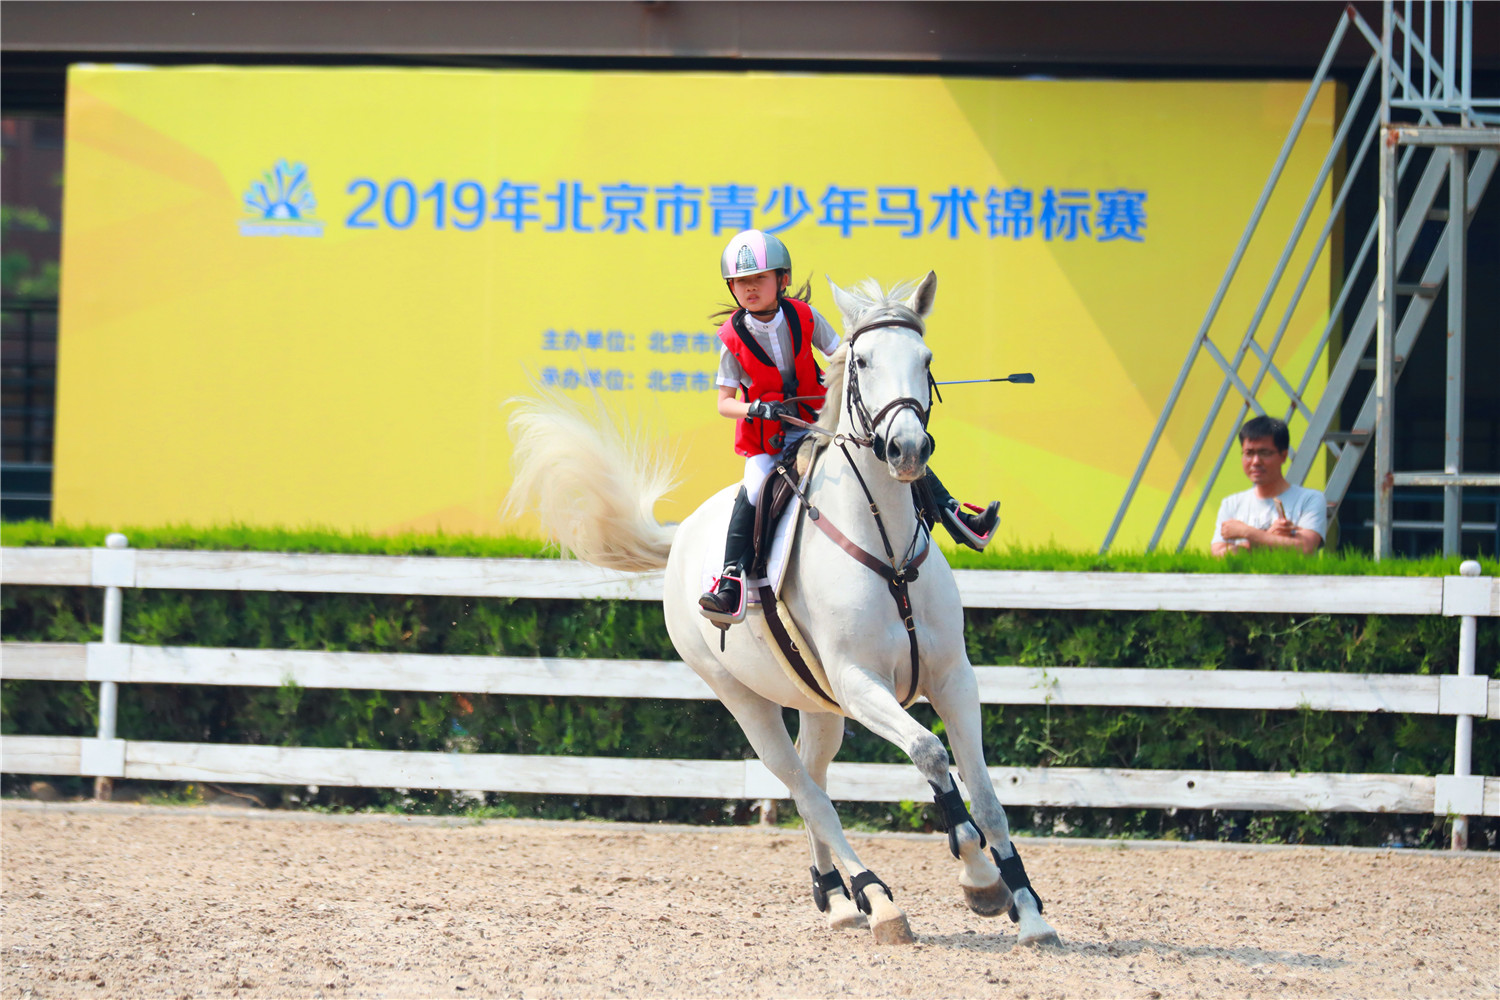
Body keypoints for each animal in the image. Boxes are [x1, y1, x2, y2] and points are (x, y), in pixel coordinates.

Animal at [510, 274, 1062, 947]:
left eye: (926, 360)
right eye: (862, 361)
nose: (907, 449)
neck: (884, 544)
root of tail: (683, 535)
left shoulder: (953, 677)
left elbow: (983, 794)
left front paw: (1027, 910)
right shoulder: (860, 683)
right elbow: (930, 754)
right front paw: (980, 881)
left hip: (819, 706)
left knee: (813, 777)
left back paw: (839, 897)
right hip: (745, 698)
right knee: (804, 789)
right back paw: (876, 899)